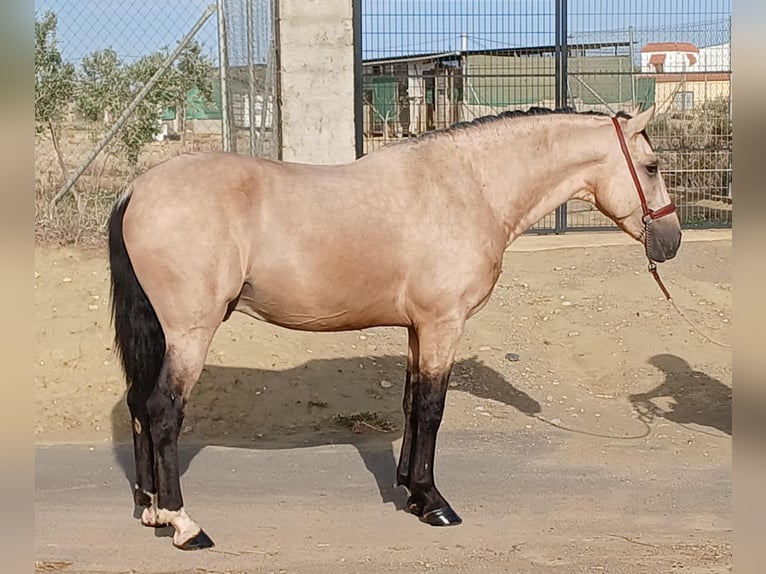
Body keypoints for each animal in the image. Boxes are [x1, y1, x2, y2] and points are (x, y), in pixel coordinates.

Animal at [108, 106, 684, 552]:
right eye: (652, 166)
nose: (672, 241)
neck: (469, 185)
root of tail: (136, 190)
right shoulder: (443, 324)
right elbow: (431, 409)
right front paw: (433, 503)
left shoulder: (417, 328)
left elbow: (410, 404)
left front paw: (407, 488)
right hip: (190, 333)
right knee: (163, 411)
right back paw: (184, 524)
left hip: (162, 333)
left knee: (139, 405)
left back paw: (150, 509)